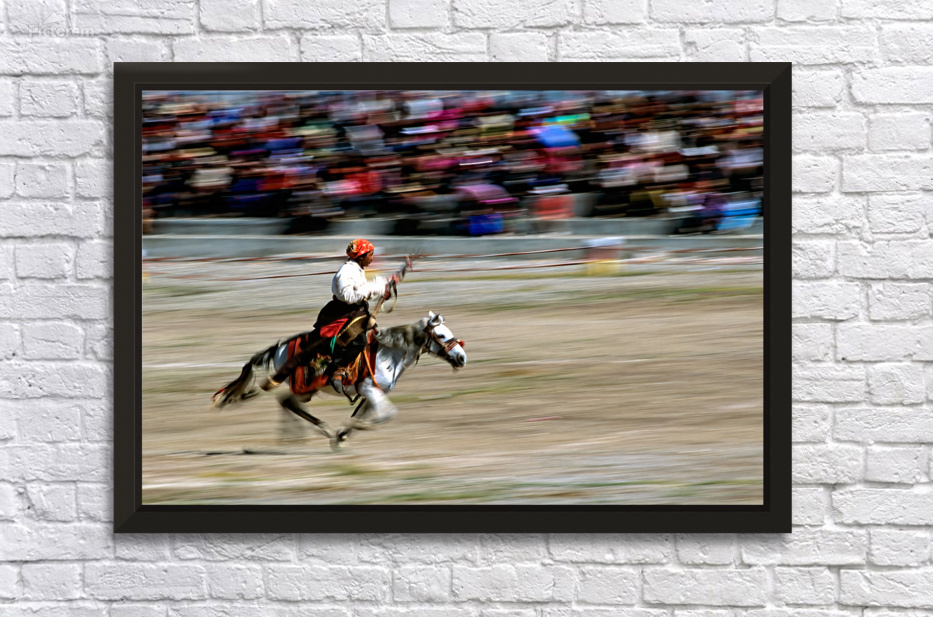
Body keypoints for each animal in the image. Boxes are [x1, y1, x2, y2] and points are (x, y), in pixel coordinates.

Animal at [211, 312, 467, 450]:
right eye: (441, 335)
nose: (462, 358)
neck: (389, 354)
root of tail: (279, 347)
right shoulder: (370, 389)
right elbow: (385, 416)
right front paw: (353, 429)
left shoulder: (372, 394)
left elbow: (369, 414)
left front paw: (343, 434)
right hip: (304, 386)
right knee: (288, 402)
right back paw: (317, 431)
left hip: (305, 390)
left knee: (287, 402)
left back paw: (299, 434)